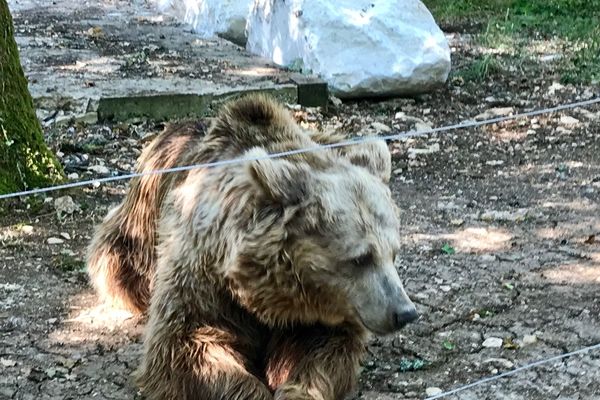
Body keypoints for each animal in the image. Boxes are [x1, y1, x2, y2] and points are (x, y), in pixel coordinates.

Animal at [86, 94, 420, 400]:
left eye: (393, 253)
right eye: (360, 258)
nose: (404, 312)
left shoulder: (325, 310)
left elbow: (327, 349)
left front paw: (297, 390)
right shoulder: (203, 278)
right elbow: (186, 346)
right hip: (134, 235)